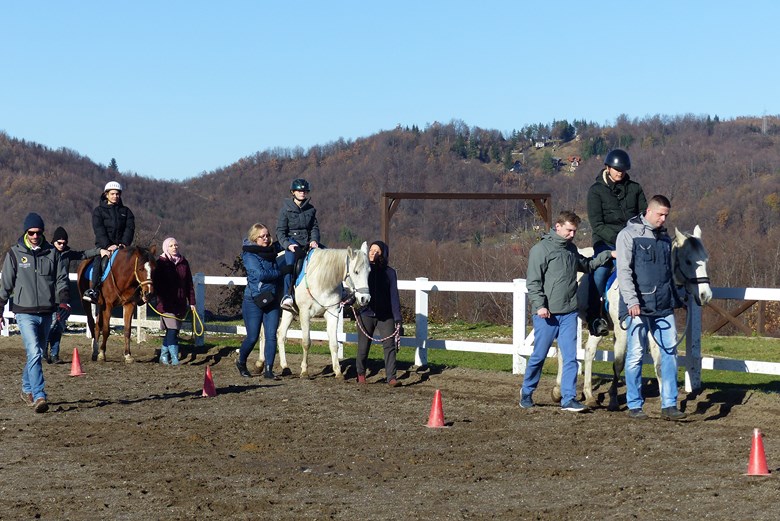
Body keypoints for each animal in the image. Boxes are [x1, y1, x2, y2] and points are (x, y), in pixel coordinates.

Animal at [256, 244, 372, 378]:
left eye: (369, 272)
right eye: (356, 271)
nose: (365, 299)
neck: (322, 280)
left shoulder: (332, 313)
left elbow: (334, 343)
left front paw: (338, 372)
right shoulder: (305, 313)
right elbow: (306, 342)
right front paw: (304, 371)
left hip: (288, 312)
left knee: (280, 334)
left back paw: (284, 366)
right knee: (265, 334)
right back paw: (261, 363)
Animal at [552, 225, 708, 408]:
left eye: (705, 260)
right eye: (689, 261)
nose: (705, 295)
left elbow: (658, 362)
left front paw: (665, 399)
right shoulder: (622, 330)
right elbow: (619, 362)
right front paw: (613, 398)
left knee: (589, 351)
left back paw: (588, 394)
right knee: (563, 350)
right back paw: (558, 390)